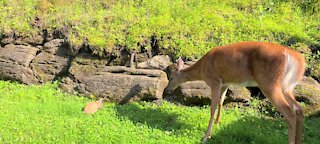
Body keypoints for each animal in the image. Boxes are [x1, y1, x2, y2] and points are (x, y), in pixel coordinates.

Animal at [166, 41, 306, 143]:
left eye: (171, 77)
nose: (167, 90)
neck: (202, 68)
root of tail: (295, 57)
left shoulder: (214, 81)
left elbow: (212, 108)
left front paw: (206, 136)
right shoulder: (225, 83)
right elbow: (221, 102)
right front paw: (218, 123)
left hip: (269, 83)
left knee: (290, 112)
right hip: (287, 86)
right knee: (299, 109)